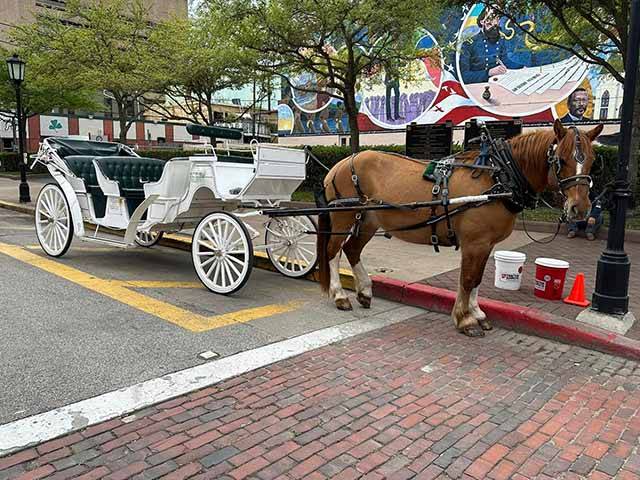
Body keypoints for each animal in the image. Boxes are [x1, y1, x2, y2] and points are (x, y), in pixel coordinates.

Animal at [318, 120, 604, 338]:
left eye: (592, 160)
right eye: (561, 160)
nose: (580, 208)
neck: (499, 176)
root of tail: (340, 164)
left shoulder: (486, 244)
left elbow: (476, 279)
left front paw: (477, 313)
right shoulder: (475, 242)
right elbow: (467, 279)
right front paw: (465, 320)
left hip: (368, 220)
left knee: (352, 251)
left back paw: (365, 291)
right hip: (343, 218)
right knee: (333, 252)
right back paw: (340, 295)